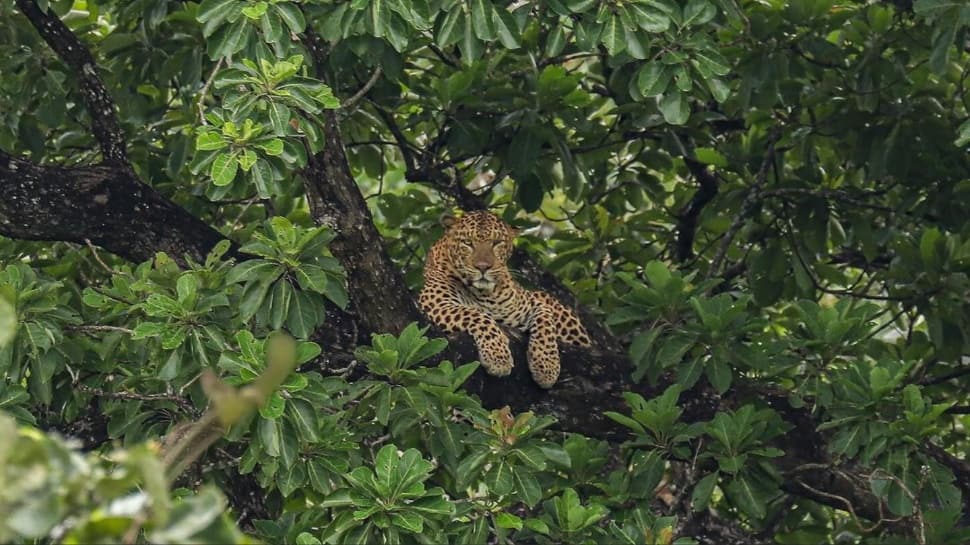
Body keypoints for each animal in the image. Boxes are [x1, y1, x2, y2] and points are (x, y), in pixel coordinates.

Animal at [420, 208, 592, 386]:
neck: (485, 293)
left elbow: (545, 321)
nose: (483, 267)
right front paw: (498, 358)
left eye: (497, 243)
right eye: (467, 242)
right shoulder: (438, 305)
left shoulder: (532, 304)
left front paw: (546, 366)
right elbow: (478, 315)